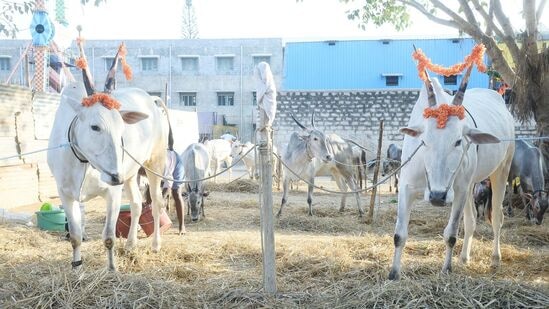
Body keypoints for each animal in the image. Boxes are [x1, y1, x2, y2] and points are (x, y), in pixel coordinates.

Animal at [48, 82, 168, 270]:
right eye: (95, 127)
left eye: (121, 129)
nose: (116, 177)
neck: (83, 160)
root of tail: (151, 99)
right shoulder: (65, 192)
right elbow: (75, 236)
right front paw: (77, 266)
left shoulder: (113, 192)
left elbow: (109, 237)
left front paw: (112, 269)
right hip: (130, 174)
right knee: (136, 204)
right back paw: (130, 244)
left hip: (155, 162)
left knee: (156, 204)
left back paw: (155, 244)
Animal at [388, 67, 516, 280]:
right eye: (424, 141)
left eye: (458, 141)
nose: (437, 196)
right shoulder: (406, 187)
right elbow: (399, 234)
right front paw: (393, 273)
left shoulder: (460, 191)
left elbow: (451, 235)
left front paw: (446, 269)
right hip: (471, 184)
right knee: (472, 220)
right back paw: (464, 258)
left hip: (501, 170)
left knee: (497, 218)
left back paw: (495, 259)